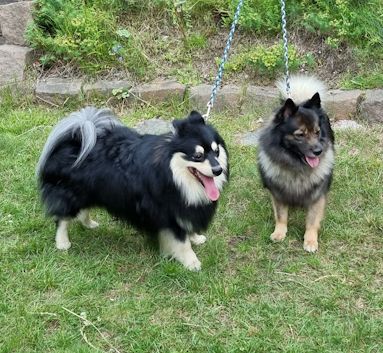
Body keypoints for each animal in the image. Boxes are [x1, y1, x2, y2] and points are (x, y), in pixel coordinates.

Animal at [36, 107, 228, 270]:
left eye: (216, 151)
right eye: (198, 156)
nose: (218, 170)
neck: (172, 174)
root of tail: (75, 139)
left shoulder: (184, 208)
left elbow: (188, 228)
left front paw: (196, 238)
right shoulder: (167, 211)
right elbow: (181, 241)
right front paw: (191, 262)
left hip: (90, 191)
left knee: (82, 211)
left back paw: (89, 224)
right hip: (72, 193)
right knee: (62, 218)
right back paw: (62, 243)